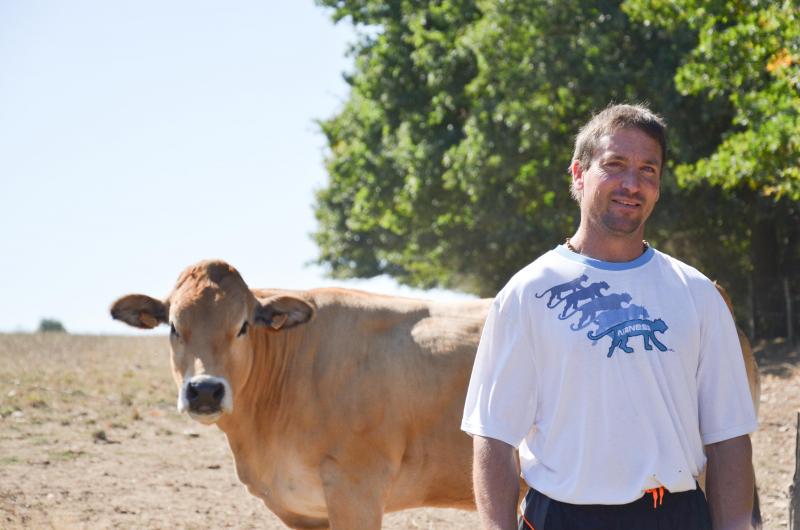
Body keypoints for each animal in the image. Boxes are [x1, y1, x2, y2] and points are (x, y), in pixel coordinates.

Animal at [109, 260, 760, 528]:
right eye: (173, 326)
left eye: (244, 325)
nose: (204, 390)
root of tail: (714, 287)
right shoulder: (299, 508)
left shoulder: (356, 490)